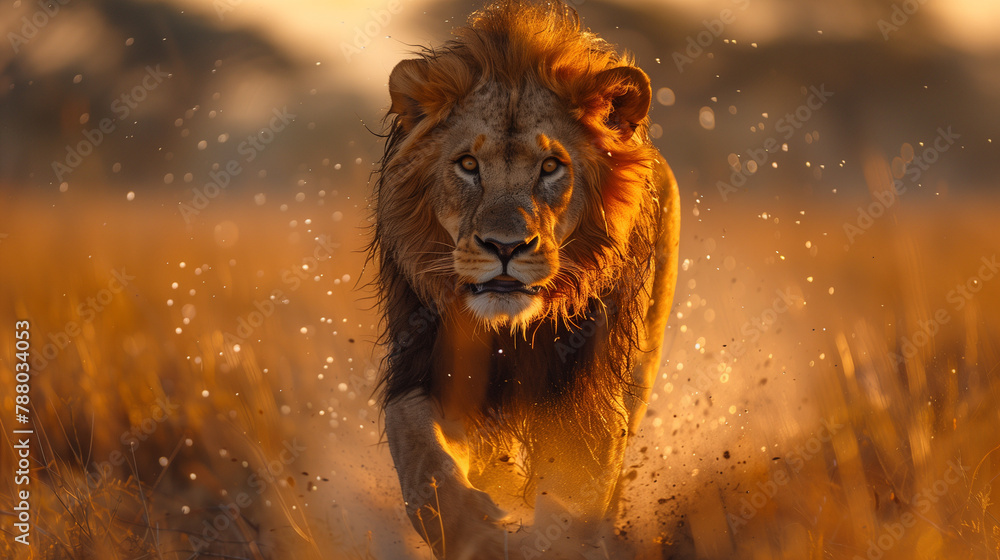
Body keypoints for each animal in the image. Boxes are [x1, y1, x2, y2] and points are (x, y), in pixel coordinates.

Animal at [369, 1, 680, 557]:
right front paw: (476, 534)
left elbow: (572, 498)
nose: (505, 247)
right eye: (468, 164)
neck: (509, 332)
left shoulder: (586, 400)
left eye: (552, 166)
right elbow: (422, 464)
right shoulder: (425, 369)